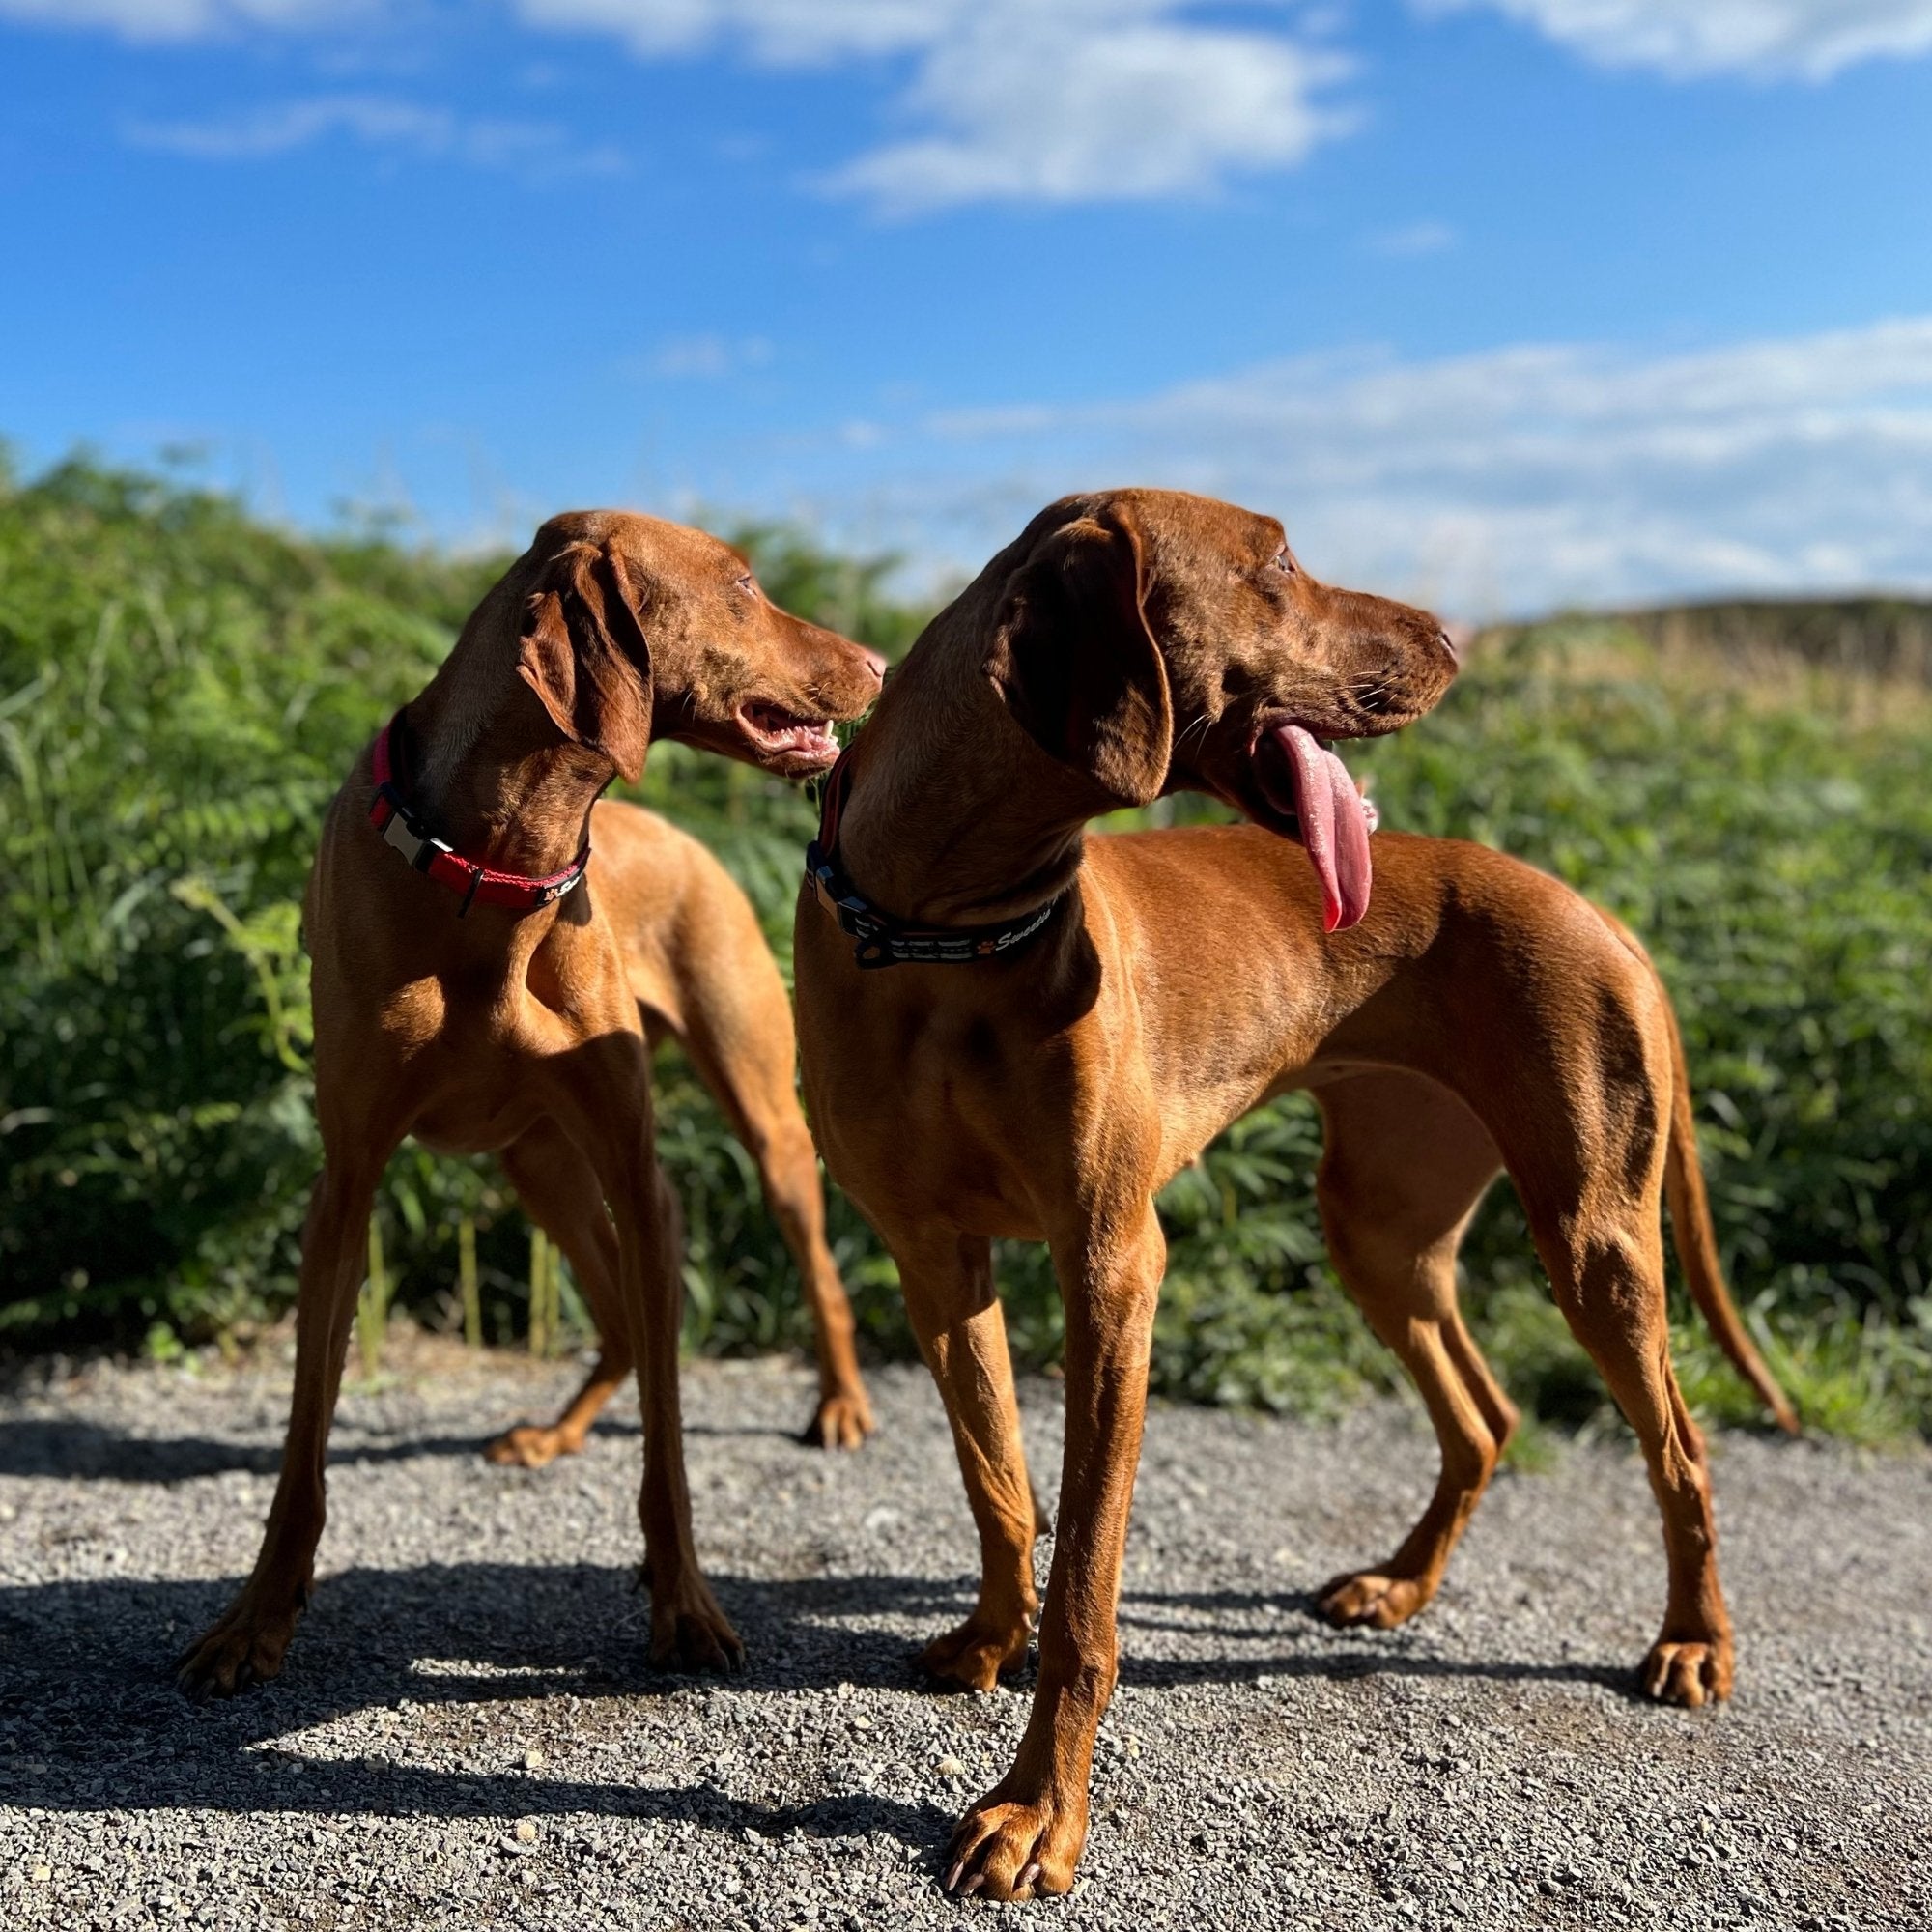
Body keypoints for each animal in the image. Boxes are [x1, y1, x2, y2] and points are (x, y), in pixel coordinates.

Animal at [174, 510, 885, 1692]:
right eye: (742, 584)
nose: (878, 662)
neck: (498, 860)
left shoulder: (635, 1170)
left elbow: (669, 1445)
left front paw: (686, 1606)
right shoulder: (348, 1181)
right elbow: (303, 1444)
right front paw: (254, 1619)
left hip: (759, 1125)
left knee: (805, 1274)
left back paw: (839, 1404)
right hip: (538, 1166)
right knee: (616, 1319)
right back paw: (556, 1431)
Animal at [788, 491, 1793, 1893]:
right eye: (1274, 562)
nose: (1457, 636)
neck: (946, 925)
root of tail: (1598, 911)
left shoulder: (1112, 1270)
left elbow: (1087, 1579)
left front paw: (1038, 1810)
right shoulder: (934, 1258)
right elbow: (999, 1483)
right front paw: (991, 1638)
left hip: (1594, 1243)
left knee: (1682, 1451)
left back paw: (1694, 1641)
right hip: (1378, 1231)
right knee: (1484, 1417)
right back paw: (1400, 1586)